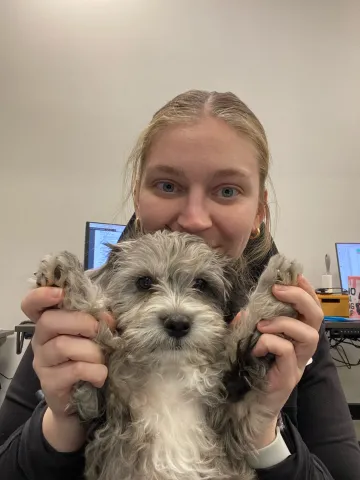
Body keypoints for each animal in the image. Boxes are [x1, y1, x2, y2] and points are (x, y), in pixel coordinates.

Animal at [35, 231, 302, 478]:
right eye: (144, 282)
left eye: (201, 284)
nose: (178, 323)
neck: (170, 370)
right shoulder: (97, 401)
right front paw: (66, 278)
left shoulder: (237, 411)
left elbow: (247, 335)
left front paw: (273, 287)